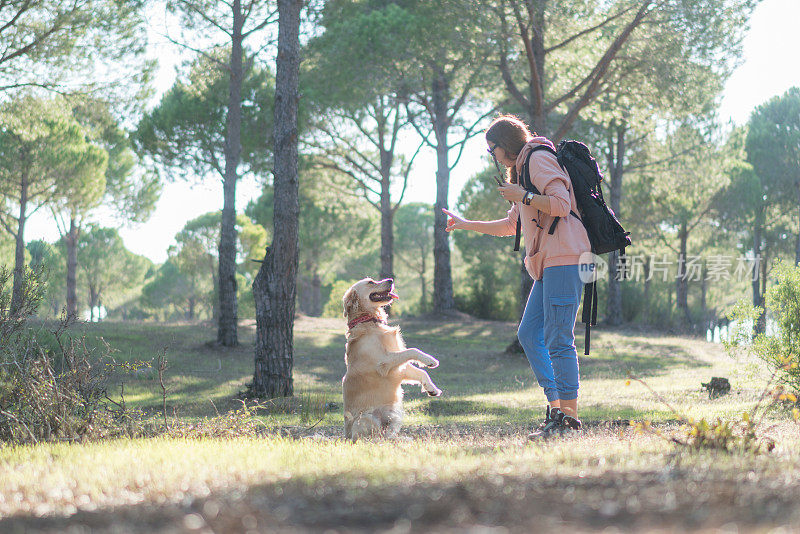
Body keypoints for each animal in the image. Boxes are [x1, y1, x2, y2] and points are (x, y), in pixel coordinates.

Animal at [340, 278, 440, 442]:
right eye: (370, 282)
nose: (390, 279)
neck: (370, 321)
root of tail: (347, 437)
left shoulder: (399, 368)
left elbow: (421, 372)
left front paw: (431, 388)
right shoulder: (384, 362)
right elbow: (413, 350)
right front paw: (430, 360)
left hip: (394, 414)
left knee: (387, 435)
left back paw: (402, 439)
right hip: (366, 417)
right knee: (370, 438)